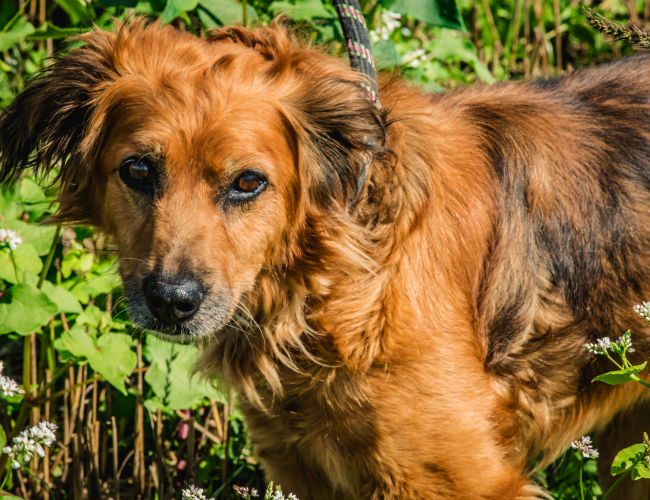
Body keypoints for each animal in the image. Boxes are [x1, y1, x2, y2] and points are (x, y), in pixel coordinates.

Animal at [1, 17, 648, 498]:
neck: (334, 283)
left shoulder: (463, 480)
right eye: (137, 170)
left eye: (248, 183)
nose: (172, 302)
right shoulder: (305, 469)